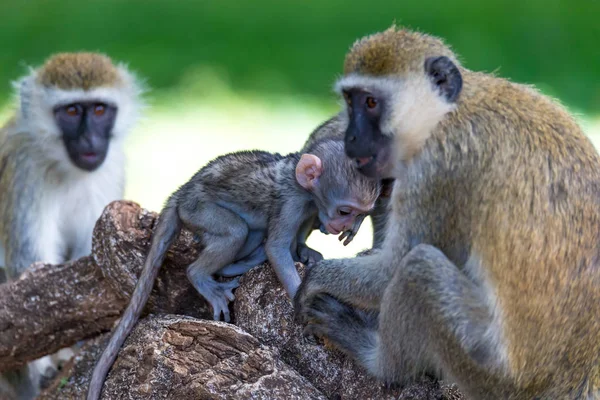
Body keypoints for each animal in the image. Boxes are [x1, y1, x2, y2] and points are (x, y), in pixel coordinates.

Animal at [0, 53, 144, 400]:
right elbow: (29, 273)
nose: (90, 139)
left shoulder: (111, 167)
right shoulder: (25, 166)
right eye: (71, 111)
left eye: (100, 110)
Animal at [88, 138, 380, 400]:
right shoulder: (292, 201)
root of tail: (182, 191)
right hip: (198, 209)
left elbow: (296, 236)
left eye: (358, 214)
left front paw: (304, 251)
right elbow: (277, 248)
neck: (302, 184)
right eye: (345, 211)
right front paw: (306, 305)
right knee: (235, 231)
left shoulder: (309, 207)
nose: (345, 226)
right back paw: (206, 276)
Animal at [294, 26, 600, 398]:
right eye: (350, 100)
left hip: (489, 371)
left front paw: (316, 279)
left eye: (371, 102)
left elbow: (389, 271)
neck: (447, 113)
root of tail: (574, 376)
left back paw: (376, 359)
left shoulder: (437, 170)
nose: (352, 137)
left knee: (418, 268)